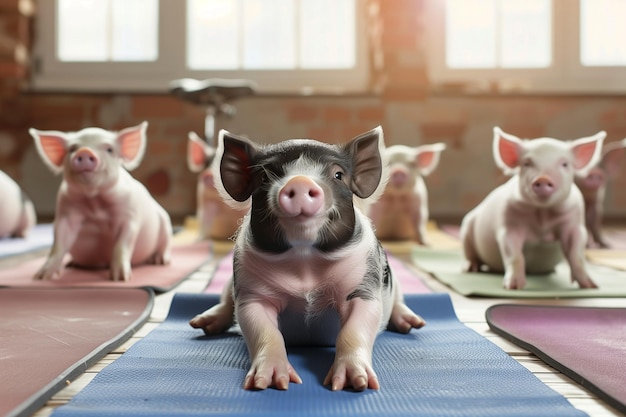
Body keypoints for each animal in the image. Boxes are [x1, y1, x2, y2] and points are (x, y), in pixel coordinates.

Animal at [28, 122, 172, 282]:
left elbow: (122, 245)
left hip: (165, 223)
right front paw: (41, 277)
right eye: (72, 149)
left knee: (164, 246)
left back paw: (160, 261)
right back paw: (71, 264)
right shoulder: (65, 213)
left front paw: (120, 278)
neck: (94, 201)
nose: (84, 151)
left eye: (109, 149)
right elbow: (58, 244)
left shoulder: (129, 216)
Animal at [460, 127, 604, 290]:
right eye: (527, 163)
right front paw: (514, 287)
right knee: (470, 255)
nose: (543, 178)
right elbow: (515, 255)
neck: (542, 215)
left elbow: (576, 254)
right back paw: (470, 268)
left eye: (565, 164)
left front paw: (591, 286)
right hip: (467, 228)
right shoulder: (508, 226)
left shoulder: (575, 224)